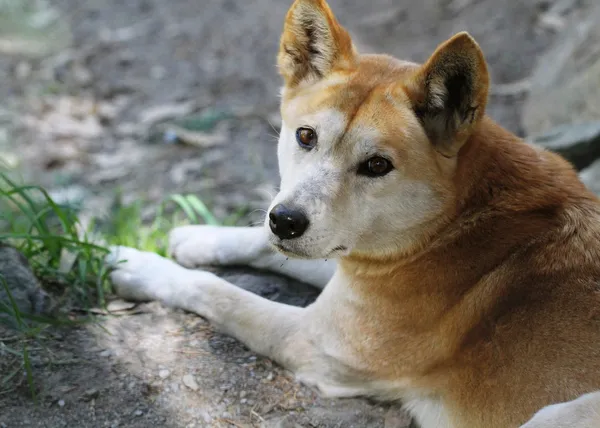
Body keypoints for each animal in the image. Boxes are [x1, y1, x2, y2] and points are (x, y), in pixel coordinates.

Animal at [108, 1, 600, 426]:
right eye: (305, 136)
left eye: (377, 166)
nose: (286, 221)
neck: (452, 225)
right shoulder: (349, 270)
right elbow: (261, 247)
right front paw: (197, 236)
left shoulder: (311, 342)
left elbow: (216, 292)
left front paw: (134, 265)